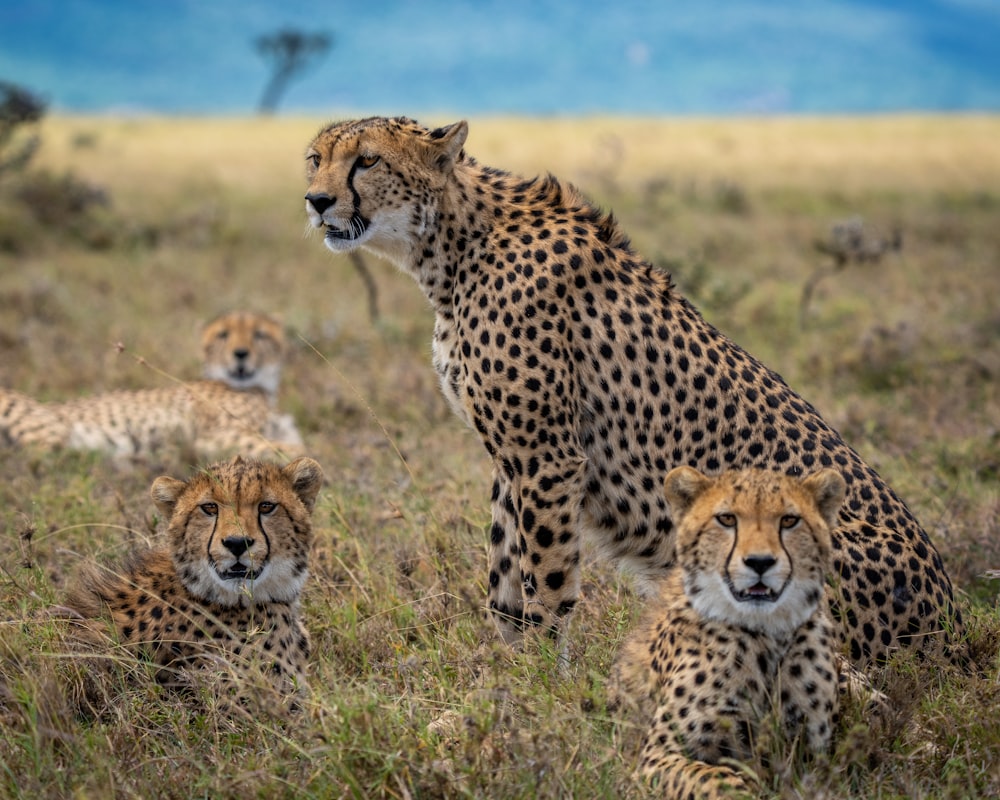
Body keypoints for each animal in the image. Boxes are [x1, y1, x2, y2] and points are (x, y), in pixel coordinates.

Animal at [0, 312, 304, 462]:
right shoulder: (216, 437)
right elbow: (299, 451)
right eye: (223, 335)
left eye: (259, 334)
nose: (241, 354)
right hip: (46, 429)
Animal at [304, 115, 968, 664]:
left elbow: (547, 572)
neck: (453, 242)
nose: (316, 201)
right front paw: (508, 671)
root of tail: (954, 624)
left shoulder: (546, 456)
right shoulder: (513, 457)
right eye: (315, 159)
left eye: (367, 161)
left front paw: (544, 678)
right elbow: (503, 571)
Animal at [604, 466, 848, 796]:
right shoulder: (658, 754)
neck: (768, 632)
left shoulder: (813, 756)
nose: (760, 562)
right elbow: (716, 780)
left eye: (789, 520)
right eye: (727, 519)